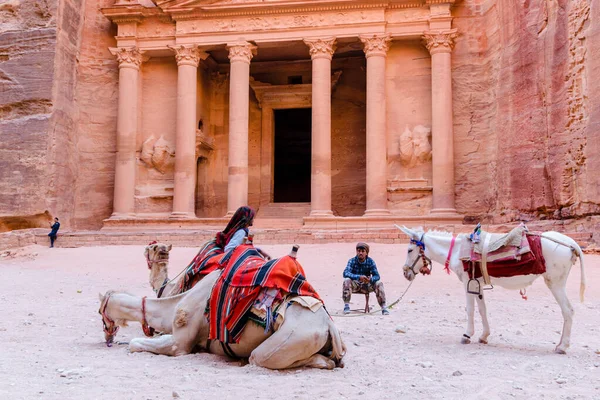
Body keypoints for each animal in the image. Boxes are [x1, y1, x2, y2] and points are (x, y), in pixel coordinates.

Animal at [97, 270, 346, 370]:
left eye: (100, 312)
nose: (107, 336)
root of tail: (329, 325)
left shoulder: (180, 345)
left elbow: (134, 344)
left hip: (294, 337)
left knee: (259, 358)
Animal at [398, 225, 584, 354]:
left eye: (409, 250)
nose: (406, 273)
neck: (458, 250)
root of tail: (571, 243)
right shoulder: (477, 283)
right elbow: (482, 310)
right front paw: (483, 336)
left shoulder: (467, 282)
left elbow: (470, 310)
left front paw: (467, 335)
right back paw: (560, 344)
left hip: (555, 283)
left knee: (568, 310)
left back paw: (563, 346)